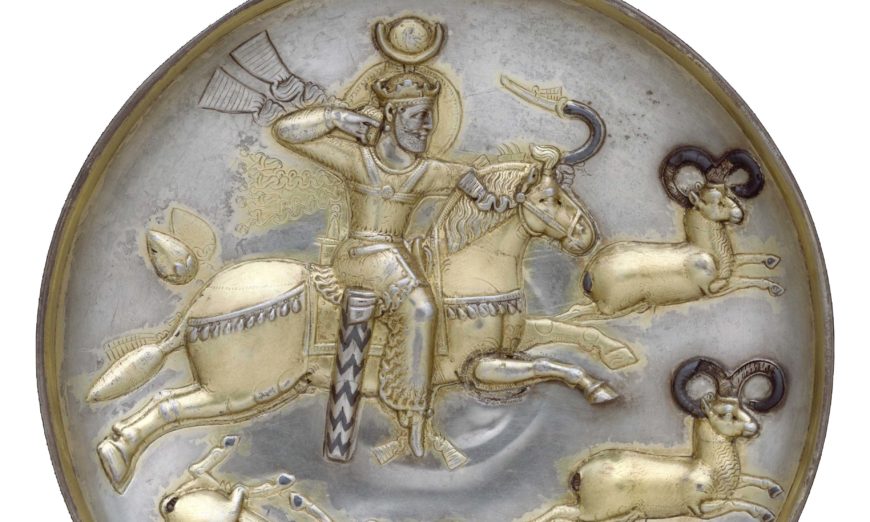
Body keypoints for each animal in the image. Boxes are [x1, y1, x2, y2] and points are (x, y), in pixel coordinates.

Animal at [90, 147, 635, 492]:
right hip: (241, 391)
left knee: (160, 401)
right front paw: (598, 387)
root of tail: (201, 302)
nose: (587, 236)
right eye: (548, 199)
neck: (465, 273)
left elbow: (564, 331)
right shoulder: (477, 368)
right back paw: (116, 459)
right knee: (165, 407)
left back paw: (114, 453)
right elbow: (550, 365)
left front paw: (616, 353)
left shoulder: (512, 341)